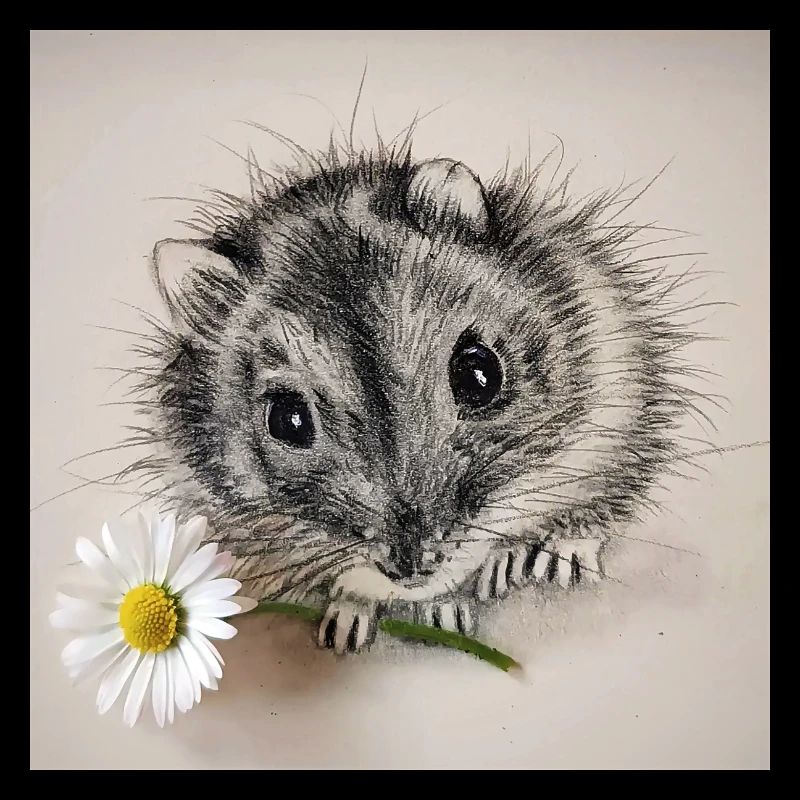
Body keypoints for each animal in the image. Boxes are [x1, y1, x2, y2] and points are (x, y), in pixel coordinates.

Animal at [141, 139, 697, 654]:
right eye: (286, 420)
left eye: (480, 375)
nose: (412, 568)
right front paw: (355, 621)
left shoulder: (611, 404)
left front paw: (540, 559)